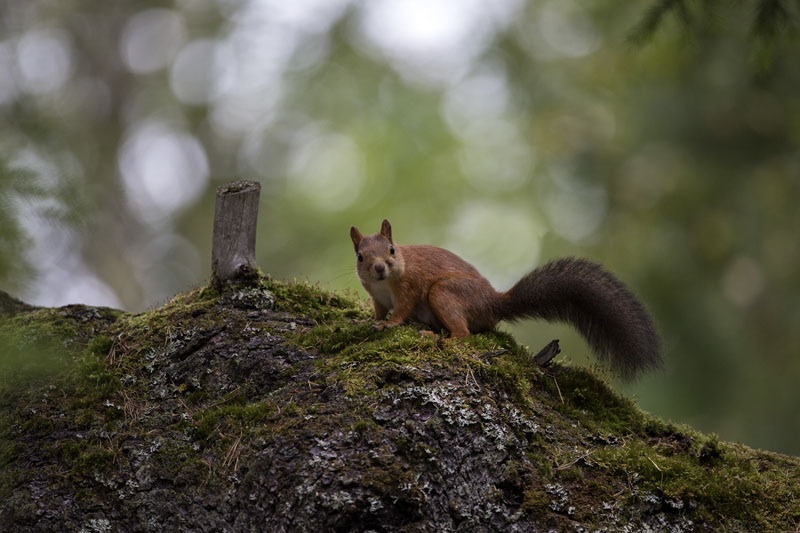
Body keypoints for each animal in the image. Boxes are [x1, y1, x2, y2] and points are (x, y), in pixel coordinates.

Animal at [350, 219, 662, 380]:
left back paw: (440, 337)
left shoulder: (411, 288)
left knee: (464, 333)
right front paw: (371, 321)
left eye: (391, 249)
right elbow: (378, 310)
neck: (385, 283)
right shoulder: (377, 296)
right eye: (360, 256)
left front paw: (390, 324)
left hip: (445, 293)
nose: (379, 268)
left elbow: (402, 309)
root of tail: (493, 303)